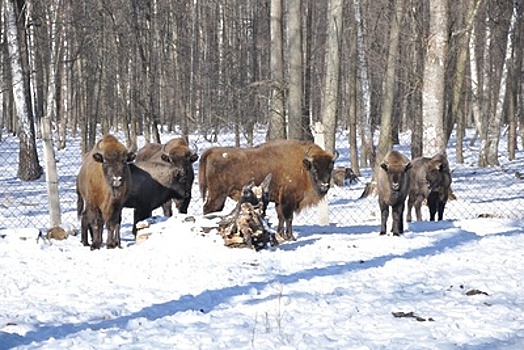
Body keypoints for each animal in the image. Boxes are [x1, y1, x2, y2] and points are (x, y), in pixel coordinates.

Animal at [198, 138, 340, 242]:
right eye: (314, 168)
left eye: (330, 168)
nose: (324, 185)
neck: (302, 166)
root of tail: (211, 151)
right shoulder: (288, 200)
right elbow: (289, 218)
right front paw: (291, 237)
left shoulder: (279, 201)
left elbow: (281, 217)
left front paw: (280, 235)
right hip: (217, 195)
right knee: (208, 209)